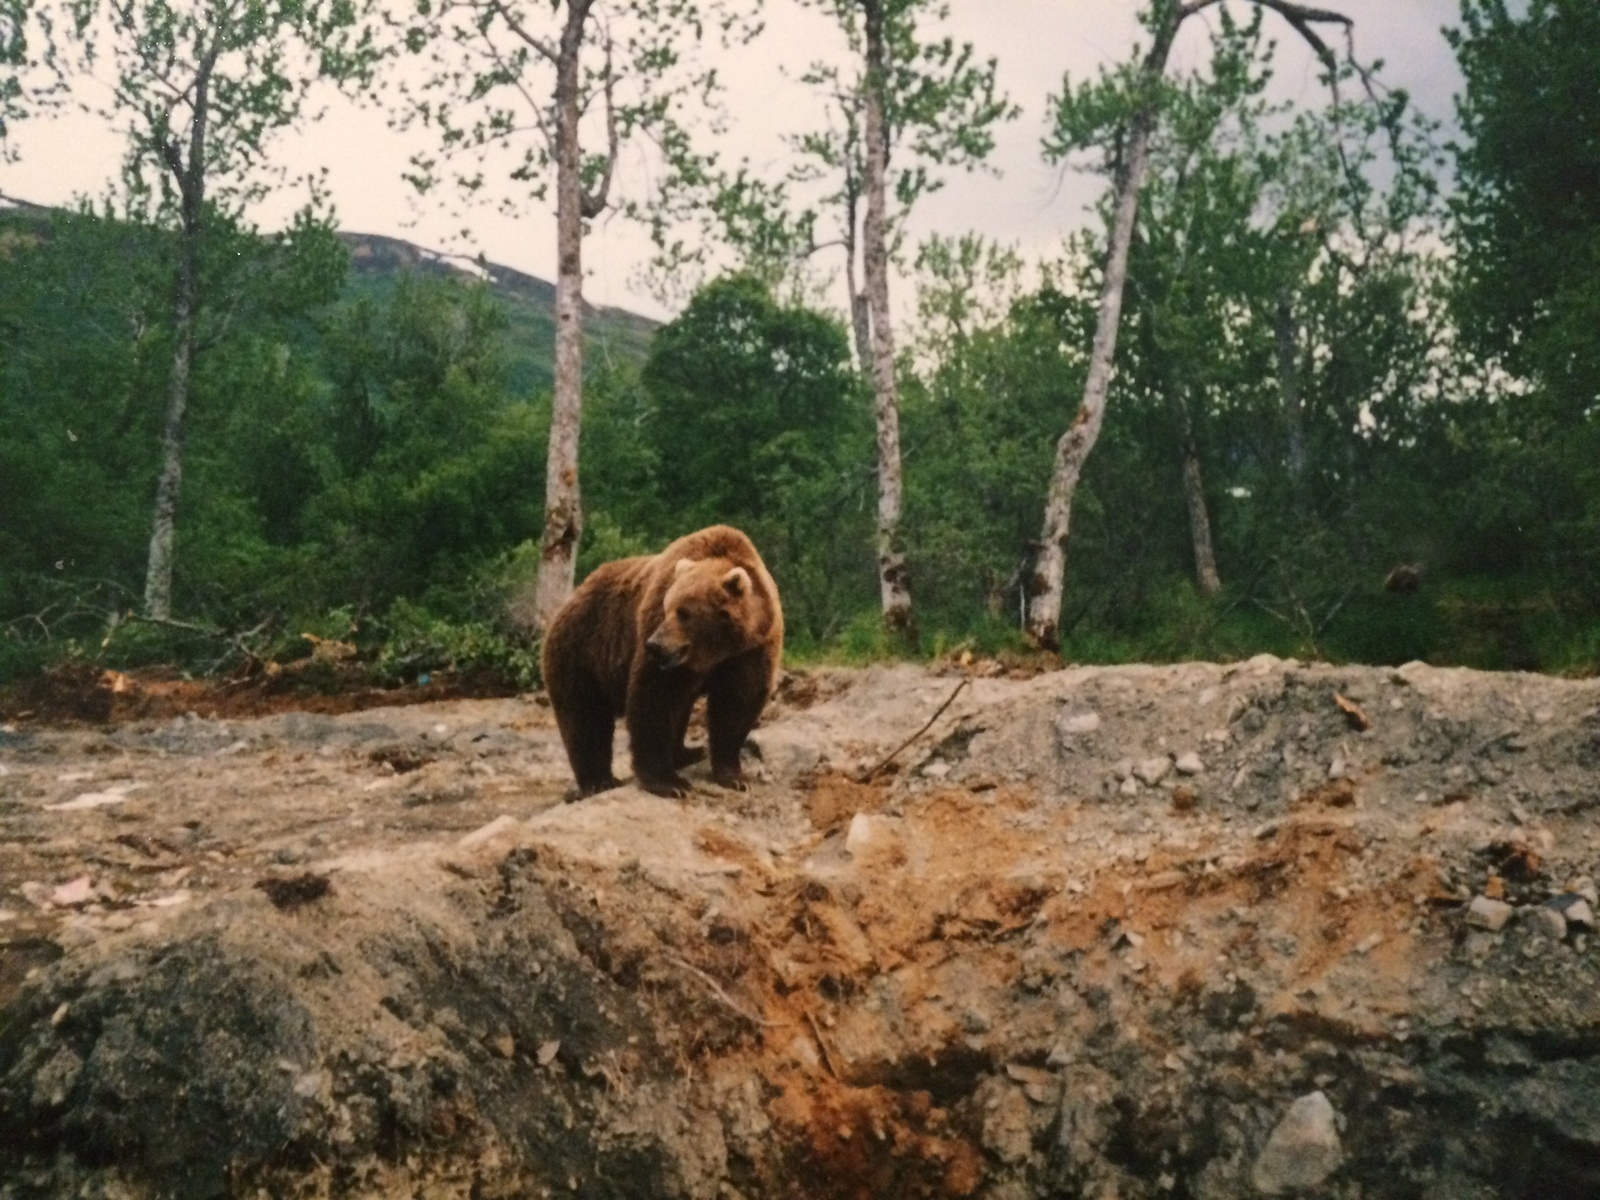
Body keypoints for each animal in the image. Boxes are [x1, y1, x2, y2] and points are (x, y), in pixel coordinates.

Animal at [540, 524, 784, 800]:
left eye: (684, 613)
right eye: (668, 608)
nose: (655, 645)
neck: (715, 651)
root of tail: (570, 599)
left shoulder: (751, 649)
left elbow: (737, 702)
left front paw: (734, 776)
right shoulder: (659, 642)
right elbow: (655, 700)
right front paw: (670, 783)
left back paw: (688, 752)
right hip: (582, 650)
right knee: (585, 715)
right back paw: (598, 781)